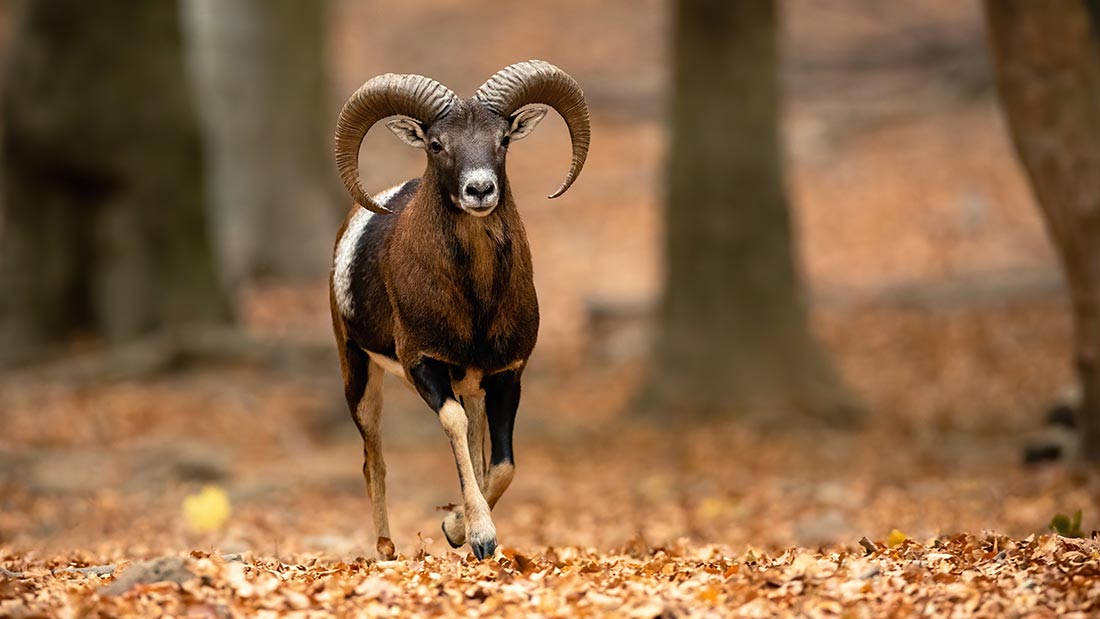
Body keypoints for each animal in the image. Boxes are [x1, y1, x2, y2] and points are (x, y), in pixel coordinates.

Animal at [329, 60, 590, 560]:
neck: (476, 306)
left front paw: (457, 531)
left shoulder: (507, 375)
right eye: (436, 144)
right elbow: (454, 426)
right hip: (358, 372)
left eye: (503, 139)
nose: (480, 190)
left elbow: (500, 464)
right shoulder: (424, 365)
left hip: (470, 386)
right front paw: (479, 537)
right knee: (374, 460)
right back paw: (386, 549)